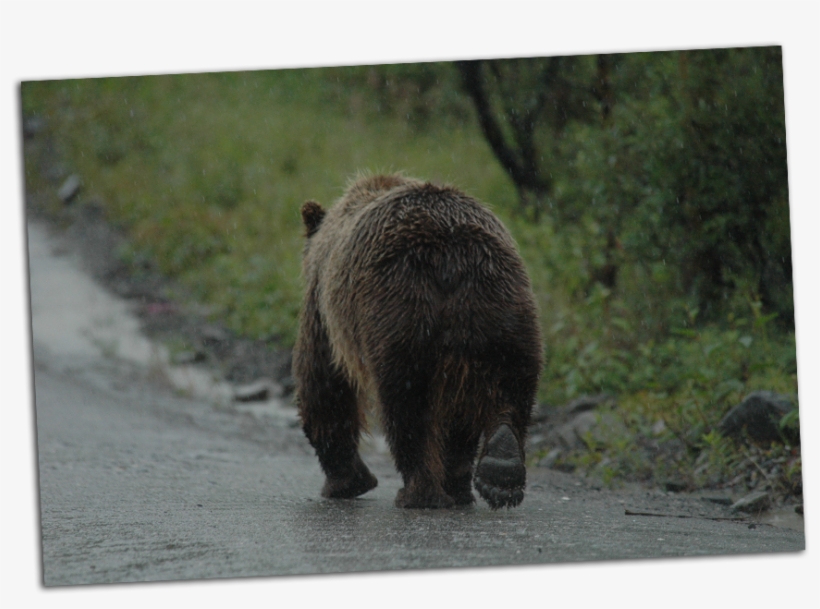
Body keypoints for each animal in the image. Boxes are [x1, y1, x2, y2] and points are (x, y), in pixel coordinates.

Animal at [293, 174, 542, 509]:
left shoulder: (323, 310)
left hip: (400, 309)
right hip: (503, 306)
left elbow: (324, 386)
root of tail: (452, 255)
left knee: (408, 403)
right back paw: (499, 471)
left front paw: (346, 482)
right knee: (510, 384)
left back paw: (417, 492)